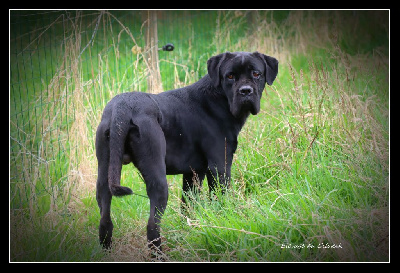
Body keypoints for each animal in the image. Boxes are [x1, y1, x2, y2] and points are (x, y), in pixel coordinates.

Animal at [96, 52, 278, 254]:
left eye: (256, 73)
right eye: (230, 76)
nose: (245, 91)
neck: (219, 99)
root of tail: (122, 107)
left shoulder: (193, 173)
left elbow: (188, 205)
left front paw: (189, 230)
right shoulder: (219, 166)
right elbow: (220, 199)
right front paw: (224, 220)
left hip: (104, 177)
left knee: (105, 222)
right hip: (158, 180)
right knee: (152, 225)